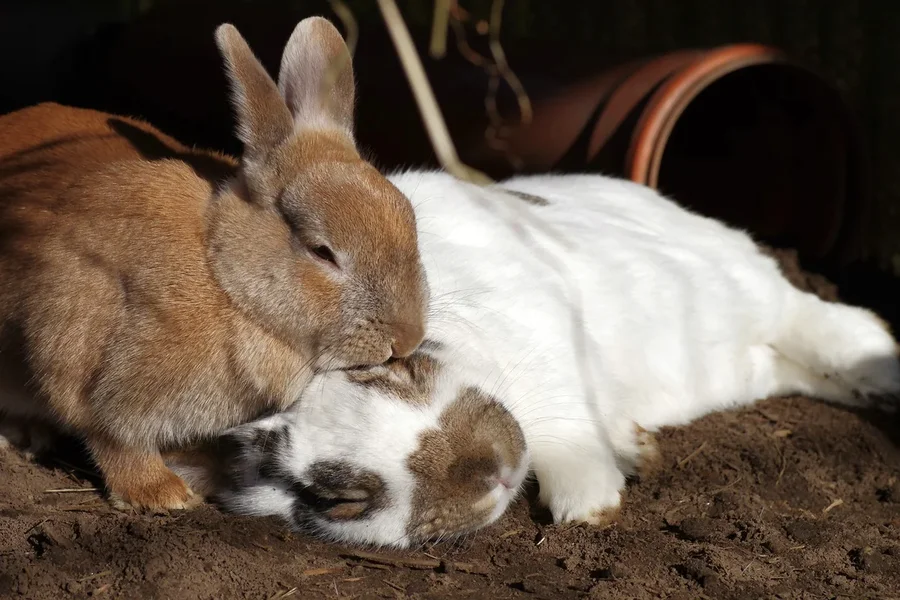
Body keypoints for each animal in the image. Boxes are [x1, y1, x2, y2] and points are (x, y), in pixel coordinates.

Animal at [0, 17, 428, 512]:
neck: (224, 280)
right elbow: (112, 438)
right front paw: (160, 494)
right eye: (322, 251)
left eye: (409, 218)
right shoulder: (84, 357)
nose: (407, 339)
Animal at [170, 169, 900, 546]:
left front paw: (587, 502)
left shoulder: (547, 331)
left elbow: (562, 421)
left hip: (742, 288)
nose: (489, 473)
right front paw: (614, 474)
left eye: (400, 367)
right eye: (336, 499)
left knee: (820, 320)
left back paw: (883, 371)